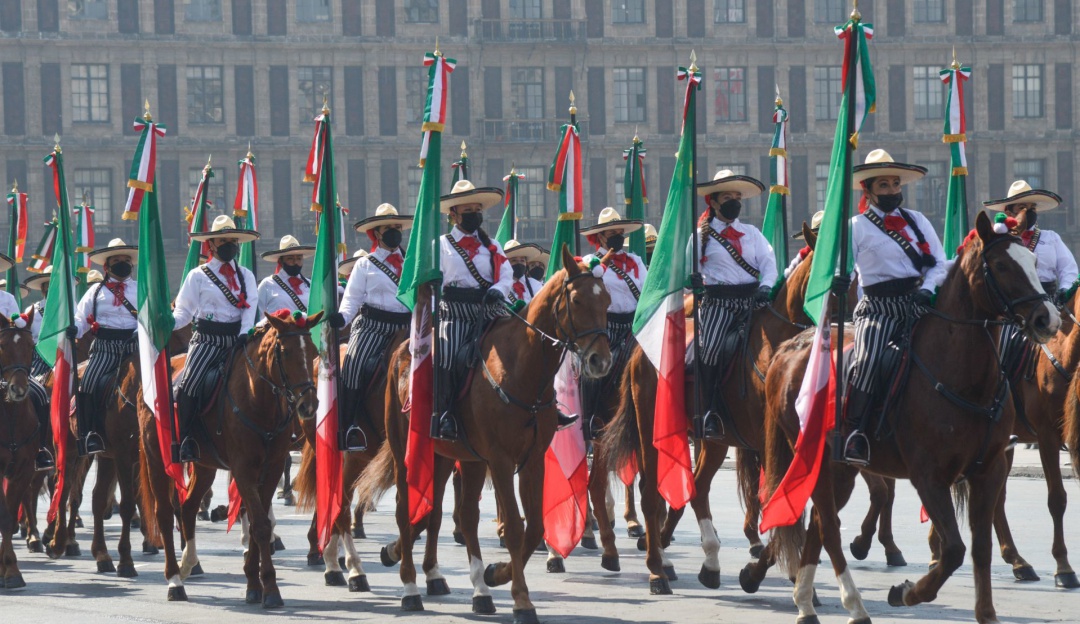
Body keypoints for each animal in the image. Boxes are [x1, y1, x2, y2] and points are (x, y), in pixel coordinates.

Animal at [137, 313, 319, 604]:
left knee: (187, 507)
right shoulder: (243, 468)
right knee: (164, 513)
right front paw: (270, 588)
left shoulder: (271, 468)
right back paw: (175, 580)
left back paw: (190, 563)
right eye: (285, 351)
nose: (308, 406)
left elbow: (258, 521)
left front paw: (255, 584)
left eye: (312, 351)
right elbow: (259, 524)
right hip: (158, 460)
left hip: (203, 466)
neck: (258, 398)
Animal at [354, 245, 609, 617]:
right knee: (406, 510)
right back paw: (410, 586)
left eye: (606, 301)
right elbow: (516, 526)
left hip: (454, 457)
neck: (522, 370)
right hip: (407, 451)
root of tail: (402, 352)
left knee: (456, 514)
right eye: (576, 300)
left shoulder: (532, 460)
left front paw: (496, 573)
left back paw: (471, 587)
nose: (600, 361)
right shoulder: (501, 460)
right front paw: (521, 599)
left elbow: (535, 526)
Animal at [764, 209, 1058, 621]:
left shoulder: (989, 469)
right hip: (815, 461)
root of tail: (790, 348)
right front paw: (905, 593)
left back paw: (806, 602)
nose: (1048, 318)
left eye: (1032, 259)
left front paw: (986, 612)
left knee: (820, 525)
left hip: (841, 468)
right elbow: (953, 550)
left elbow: (979, 548)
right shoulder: (928, 476)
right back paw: (853, 604)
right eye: (1001, 264)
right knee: (830, 528)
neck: (964, 378)